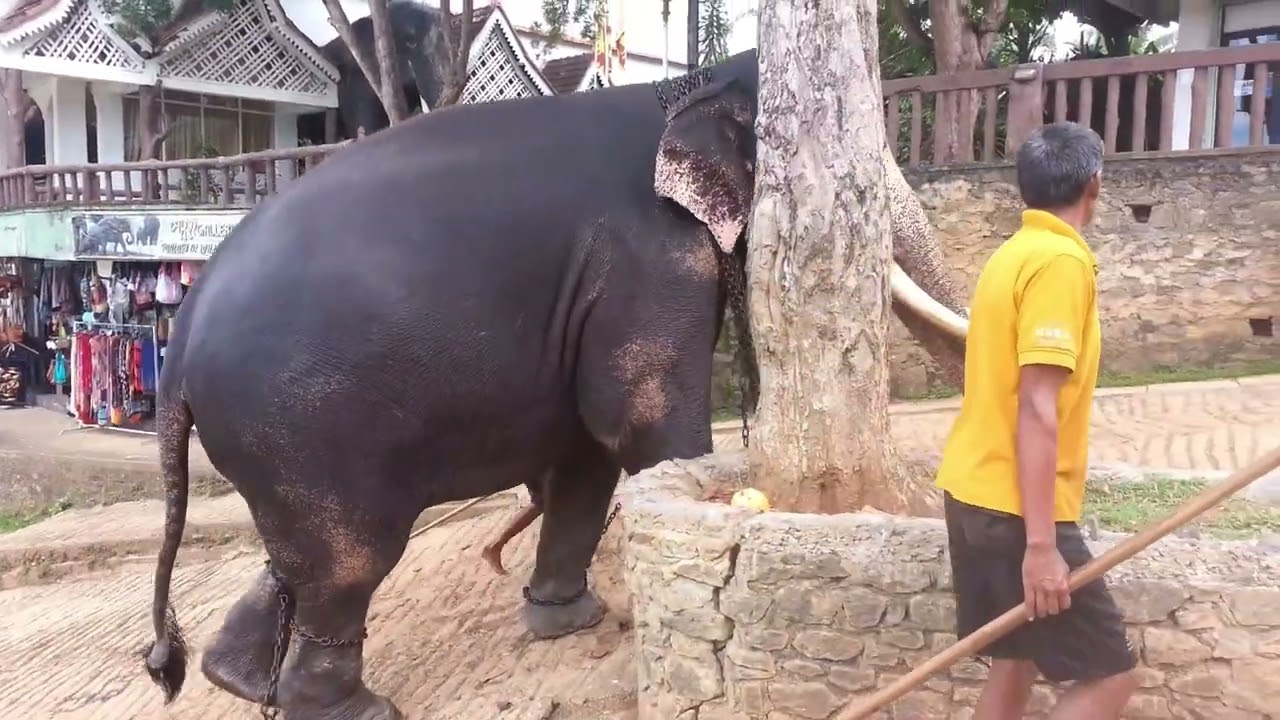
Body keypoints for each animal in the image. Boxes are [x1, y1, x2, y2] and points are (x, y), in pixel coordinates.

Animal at [141, 49, 970, 720]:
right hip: (301, 424)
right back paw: (357, 710)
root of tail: (178, 350)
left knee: (303, 558)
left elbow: (587, 450)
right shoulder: (651, 256)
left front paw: (568, 622)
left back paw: (234, 679)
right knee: (353, 557)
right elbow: (637, 420)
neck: (684, 87)